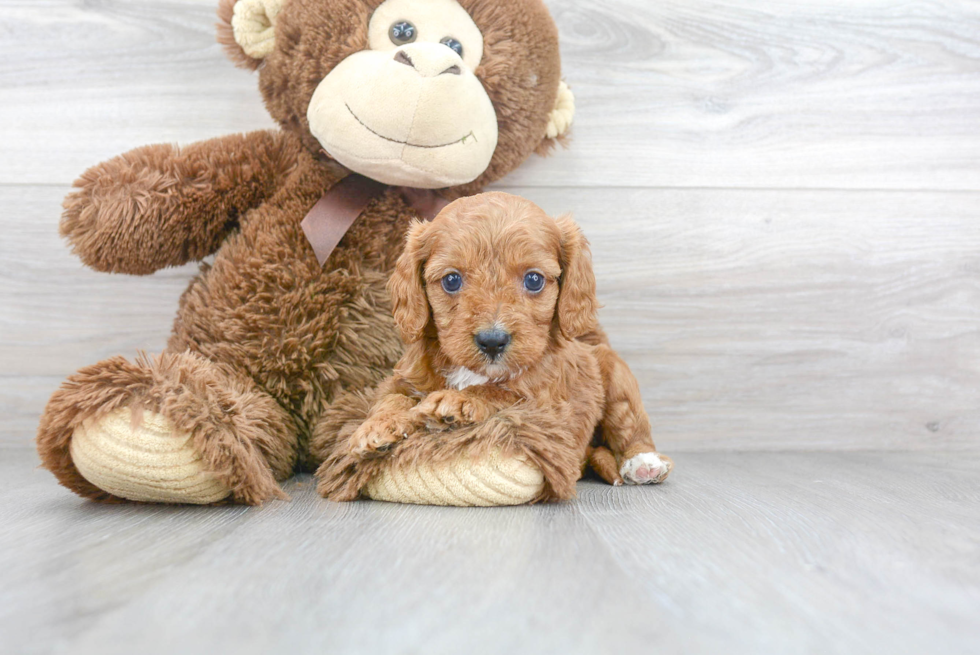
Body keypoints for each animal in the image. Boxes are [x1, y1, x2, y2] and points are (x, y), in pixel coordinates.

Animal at [318, 192, 668, 500]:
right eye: (451, 280)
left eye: (534, 280)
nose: (492, 341)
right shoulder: (402, 380)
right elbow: (391, 399)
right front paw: (376, 427)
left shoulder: (547, 403)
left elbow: (501, 393)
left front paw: (458, 402)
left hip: (615, 374)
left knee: (631, 426)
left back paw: (643, 464)